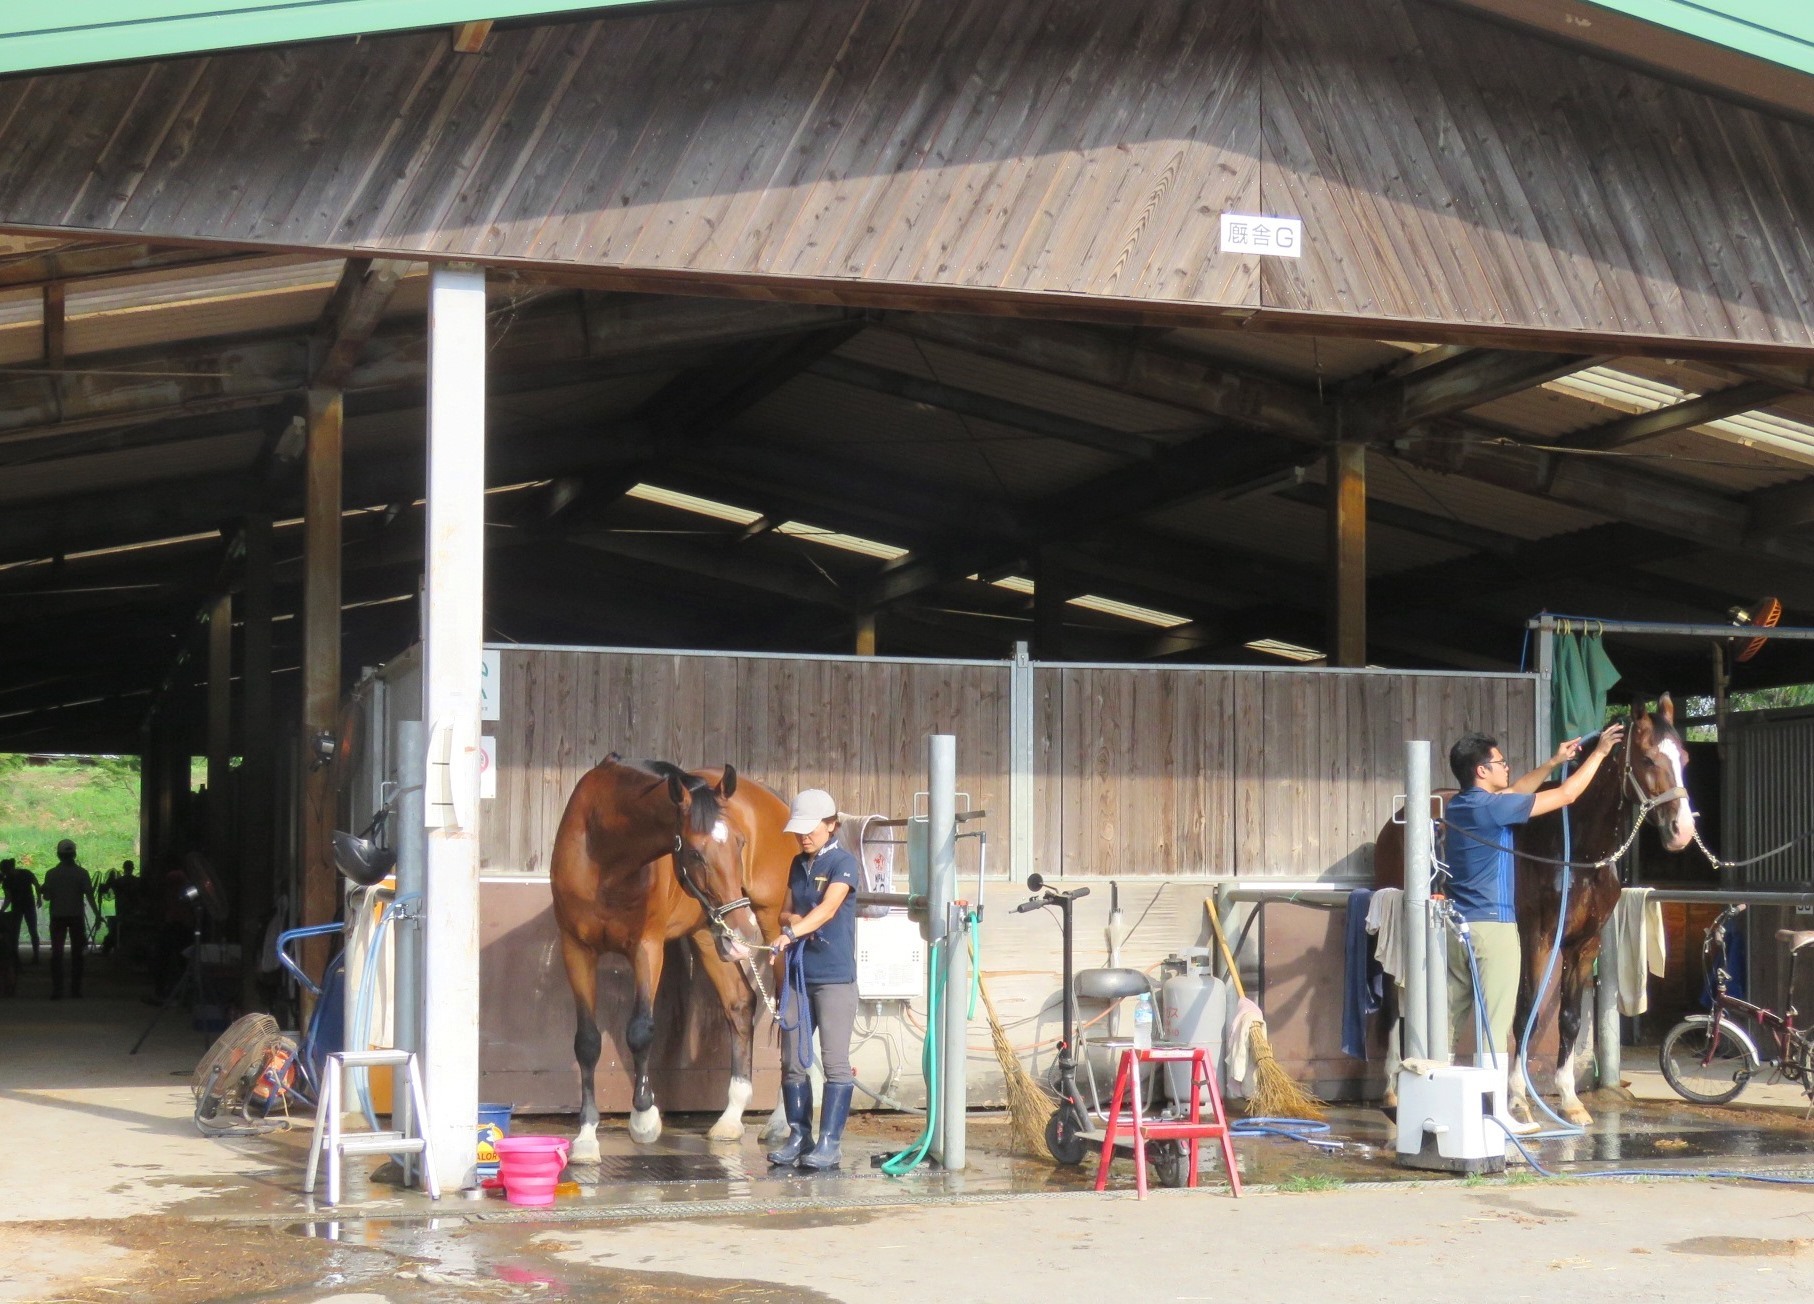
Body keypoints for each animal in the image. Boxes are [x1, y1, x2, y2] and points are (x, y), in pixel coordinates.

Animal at [551, 754, 794, 1160]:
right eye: (695, 852)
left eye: (740, 843)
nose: (743, 933)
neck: (605, 854)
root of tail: (780, 803)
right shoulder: (576, 949)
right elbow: (586, 1041)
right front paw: (586, 1137)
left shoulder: (646, 947)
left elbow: (640, 1030)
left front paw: (643, 1118)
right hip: (708, 934)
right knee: (739, 1003)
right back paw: (730, 1119)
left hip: (776, 927)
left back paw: (781, 1122)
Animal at [1371, 700, 1697, 1124]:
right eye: (1647, 759)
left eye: (1684, 758)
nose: (1682, 831)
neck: (1573, 853)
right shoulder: (1536, 938)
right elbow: (1527, 1013)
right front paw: (1517, 1099)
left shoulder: (1584, 944)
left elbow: (1569, 1019)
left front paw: (1570, 1099)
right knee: (1393, 1005)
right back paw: (1392, 1089)